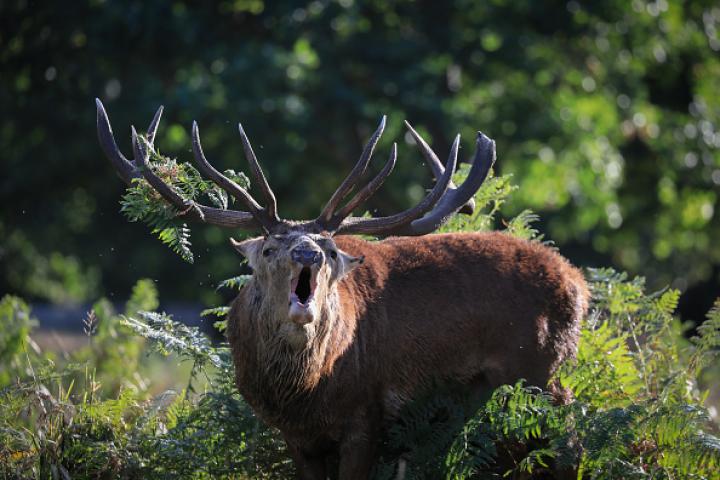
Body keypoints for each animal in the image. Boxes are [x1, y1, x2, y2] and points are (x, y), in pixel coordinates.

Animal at [96, 99, 589, 480]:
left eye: (331, 250)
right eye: (270, 248)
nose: (308, 253)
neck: (305, 392)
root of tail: (578, 285)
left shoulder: (365, 417)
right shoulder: (296, 436)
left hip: (541, 371)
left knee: (571, 447)